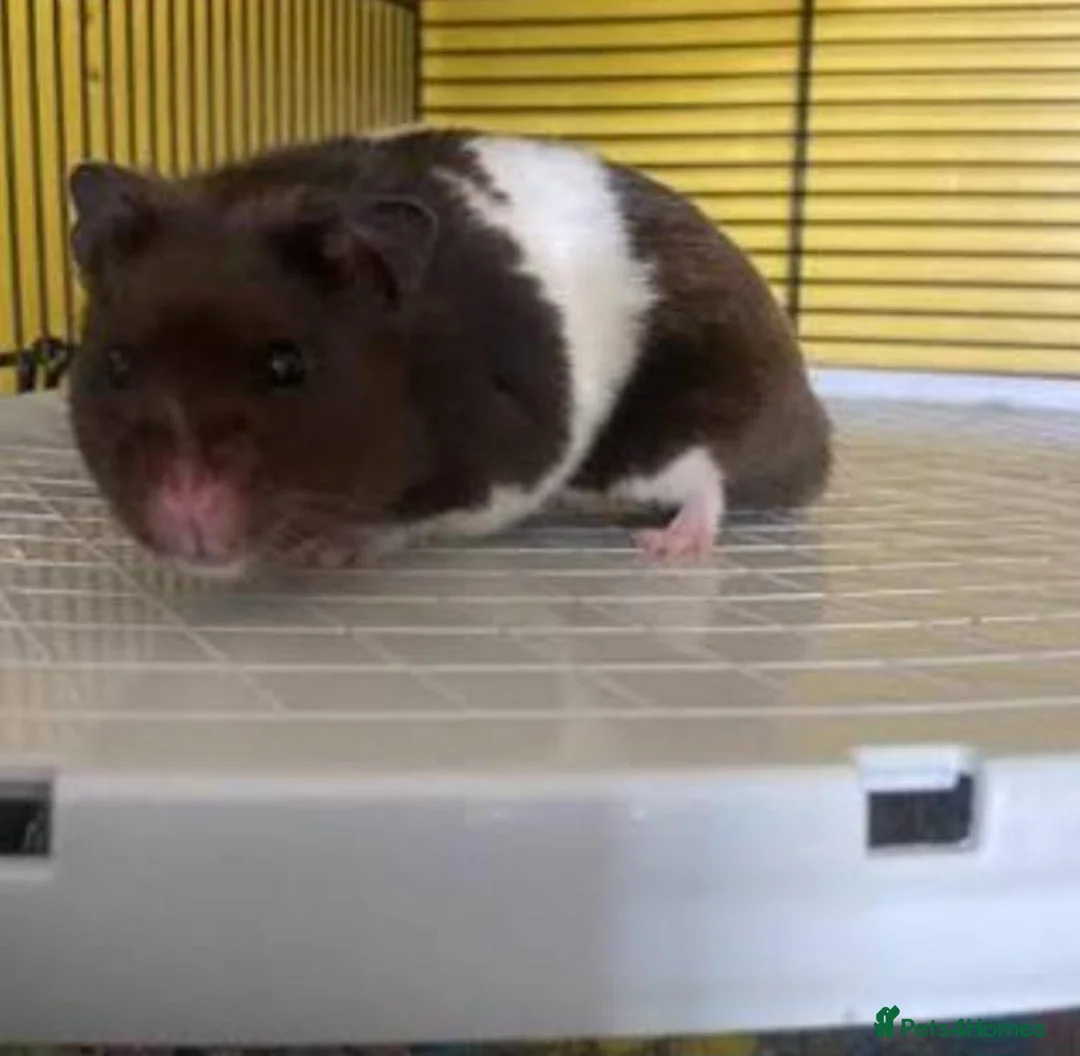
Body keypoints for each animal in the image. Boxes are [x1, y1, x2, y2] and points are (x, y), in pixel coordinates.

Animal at [66, 127, 831, 578]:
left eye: (288, 365)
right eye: (116, 366)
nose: (186, 517)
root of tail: (807, 423)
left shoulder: (501, 466)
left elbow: (407, 521)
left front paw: (329, 549)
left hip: (662, 424)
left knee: (705, 478)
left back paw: (670, 547)